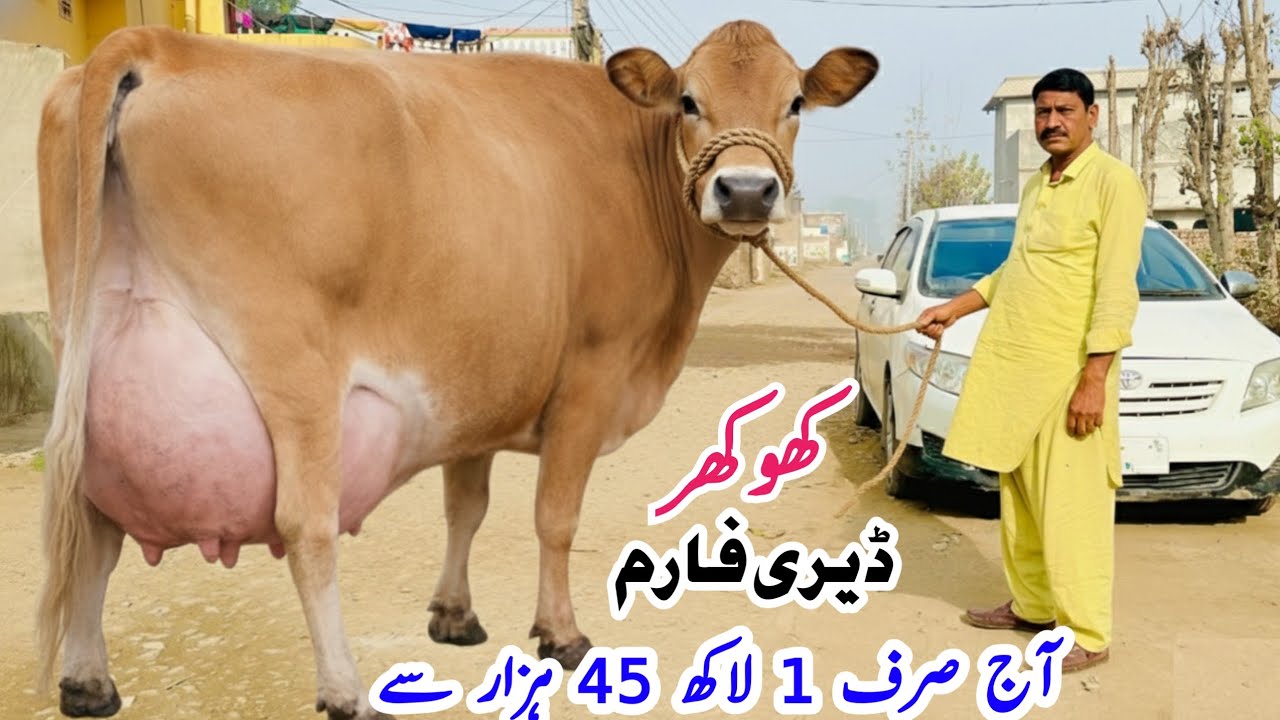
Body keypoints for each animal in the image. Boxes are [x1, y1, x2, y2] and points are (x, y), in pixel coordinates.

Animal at [33, 20, 878, 719]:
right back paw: (345, 690)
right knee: (306, 528)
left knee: (89, 523)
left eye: (795, 100)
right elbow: (555, 519)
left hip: (97, 368)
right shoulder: (592, 377)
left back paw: (87, 681)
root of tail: (156, 42)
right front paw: (561, 634)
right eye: (690, 100)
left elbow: (464, 508)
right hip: (294, 372)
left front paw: (454, 616)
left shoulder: (478, 393)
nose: (746, 191)